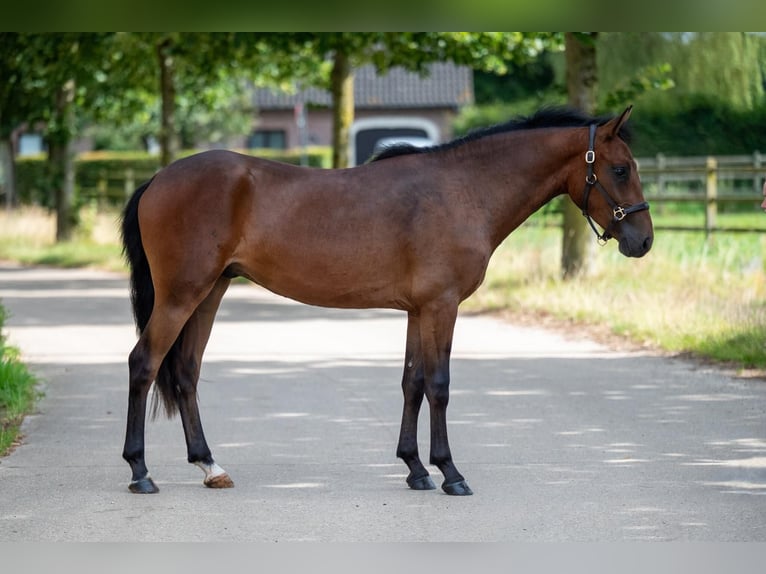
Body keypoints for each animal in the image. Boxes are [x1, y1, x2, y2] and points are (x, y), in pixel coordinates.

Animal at [121, 106, 652, 496]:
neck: (462, 190)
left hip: (210, 292)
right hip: (181, 296)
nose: (643, 241)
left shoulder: (419, 310)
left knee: (185, 371)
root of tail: (157, 179)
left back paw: (210, 466)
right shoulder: (442, 307)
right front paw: (450, 473)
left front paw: (415, 469)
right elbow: (438, 384)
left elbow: (411, 383)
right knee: (144, 364)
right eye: (620, 168)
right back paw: (140, 472)